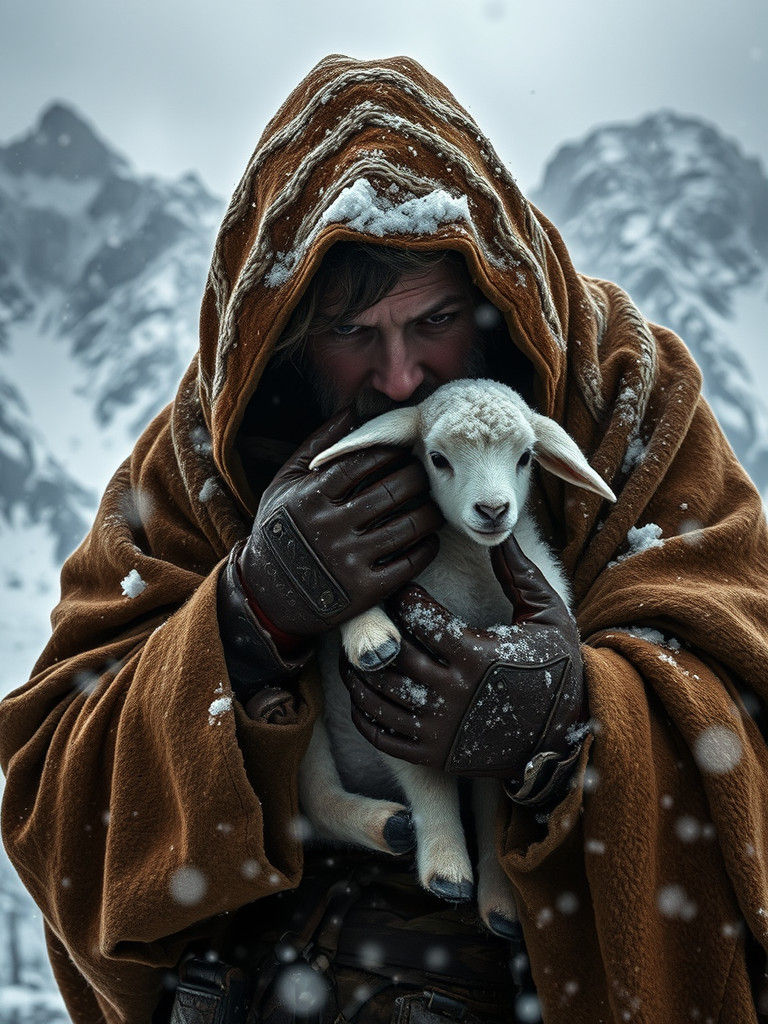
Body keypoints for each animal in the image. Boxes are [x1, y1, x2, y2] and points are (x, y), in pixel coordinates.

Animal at [297, 378, 616, 936]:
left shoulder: (481, 731)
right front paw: (446, 869)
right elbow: (427, 781)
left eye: (526, 457)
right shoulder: (395, 706)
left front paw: (500, 898)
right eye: (438, 459)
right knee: (314, 798)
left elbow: (490, 803)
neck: (468, 561)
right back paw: (386, 825)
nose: (492, 510)